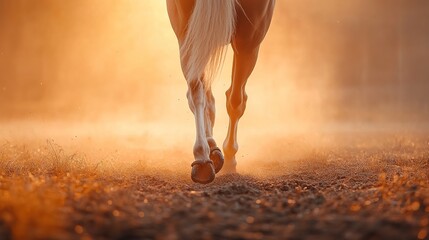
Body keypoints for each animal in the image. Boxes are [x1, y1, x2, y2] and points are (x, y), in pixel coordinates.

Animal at [166, 0, 274, 184]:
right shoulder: (248, 42)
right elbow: (234, 100)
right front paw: (228, 156)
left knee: (200, 92)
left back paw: (206, 155)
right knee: (220, 96)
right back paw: (207, 157)